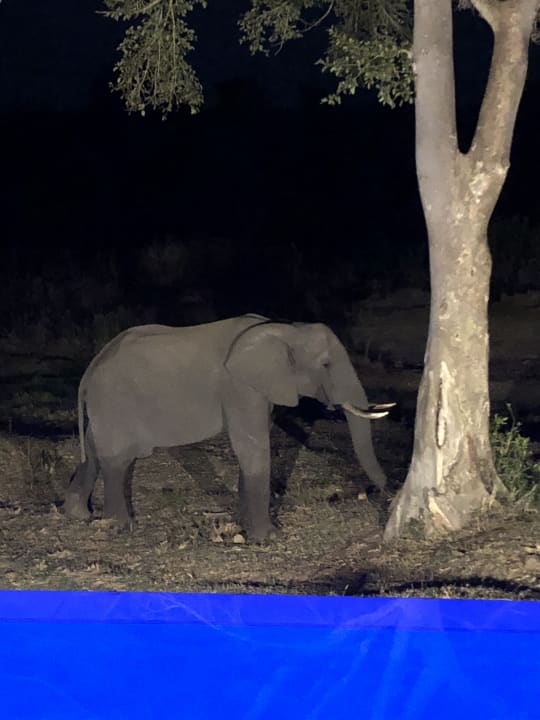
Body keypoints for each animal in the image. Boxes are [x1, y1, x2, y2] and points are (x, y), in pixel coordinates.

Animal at [64, 314, 392, 541]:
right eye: (325, 365)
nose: (382, 491)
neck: (287, 329)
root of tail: (90, 368)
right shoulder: (240, 388)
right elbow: (253, 447)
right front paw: (268, 538)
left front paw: (245, 529)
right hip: (113, 400)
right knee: (116, 460)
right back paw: (121, 526)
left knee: (93, 451)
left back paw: (80, 514)